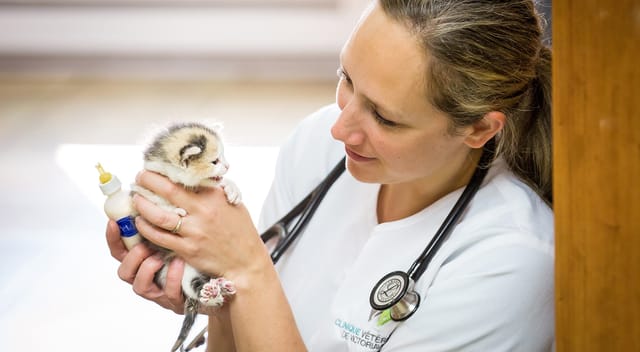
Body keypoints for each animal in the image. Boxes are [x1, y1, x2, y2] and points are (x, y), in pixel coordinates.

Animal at [131, 121, 241, 352]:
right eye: (215, 161)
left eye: (224, 157)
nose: (228, 167)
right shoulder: (141, 194)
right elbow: (155, 202)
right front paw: (174, 211)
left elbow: (220, 184)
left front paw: (232, 188)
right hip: (180, 274)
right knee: (194, 290)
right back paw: (213, 293)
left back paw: (221, 287)